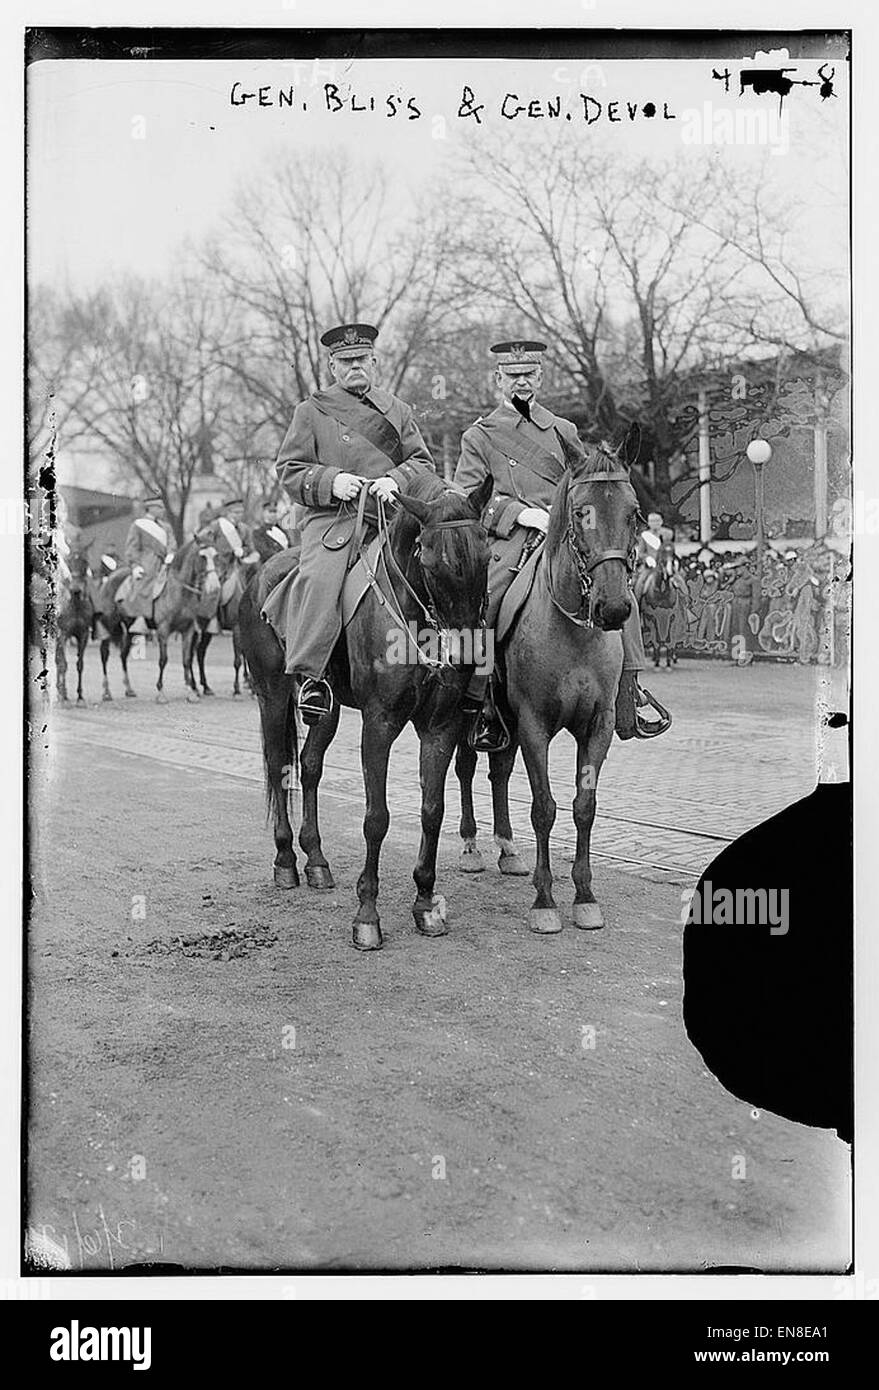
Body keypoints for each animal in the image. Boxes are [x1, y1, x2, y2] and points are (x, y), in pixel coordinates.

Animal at [54, 550, 93, 706]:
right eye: (69, 564)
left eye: (85, 564)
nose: (76, 589)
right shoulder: (61, 633)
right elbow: (63, 663)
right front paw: (61, 697)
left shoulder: (83, 634)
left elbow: (80, 664)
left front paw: (80, 697)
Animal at [236, 472, 492, 950]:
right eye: (431, 561)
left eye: (487, 554)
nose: (465, 655)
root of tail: (259, 576)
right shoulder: (379, 724)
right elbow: (377, 818)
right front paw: (367, 916)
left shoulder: (441, 727)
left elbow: (432, 811)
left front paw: (425, 904)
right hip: (272, 696)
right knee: (280, 767)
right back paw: (286, 860)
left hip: (328, 708)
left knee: (310, 766)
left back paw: (316, 860)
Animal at [453, 433, 639, 934]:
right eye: (580, 512)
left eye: (632, 512)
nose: (614, 607)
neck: (573, 628)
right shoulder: (535, 724)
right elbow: (544, 808)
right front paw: (544, 901)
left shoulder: (598, 726)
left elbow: (583, 806)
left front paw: (585, 895)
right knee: (464, 768)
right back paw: (472, 845)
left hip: (506, 722)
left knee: (498, 772)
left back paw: (506, 848)